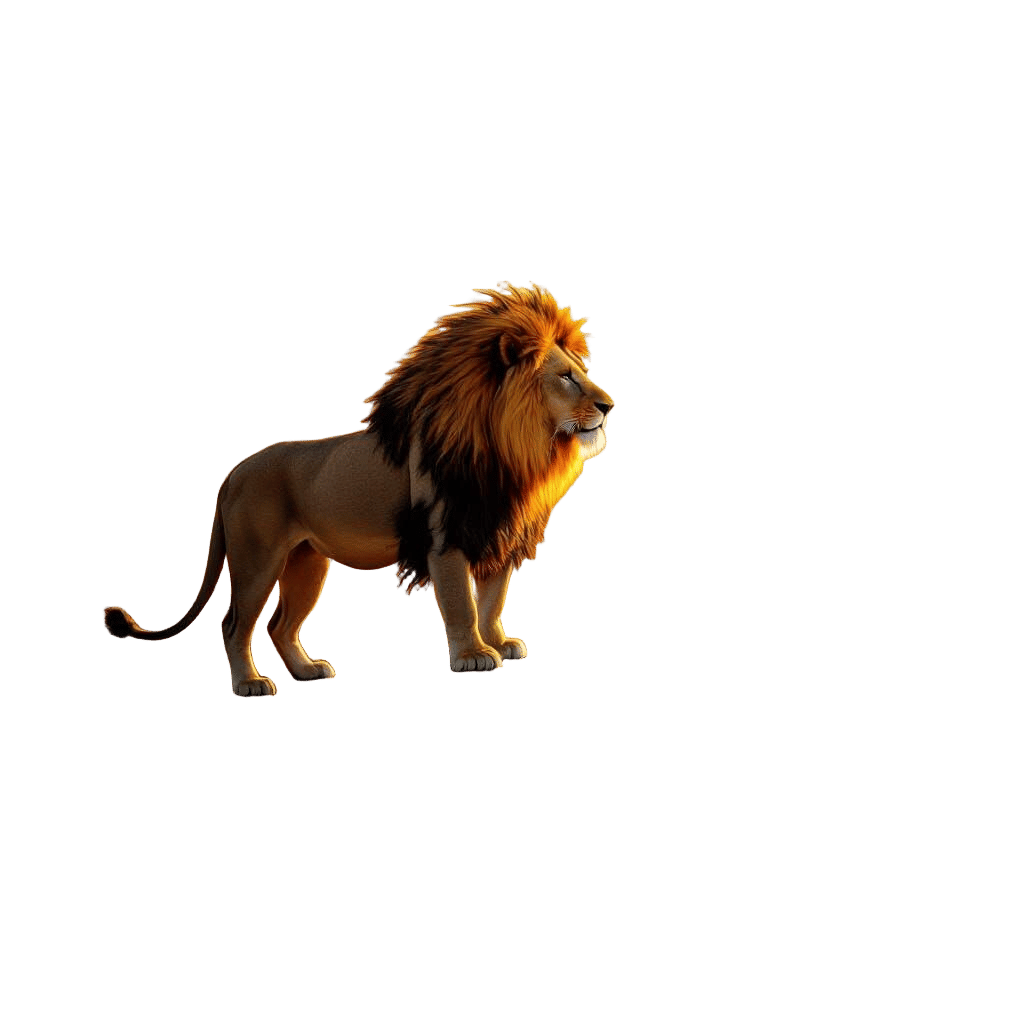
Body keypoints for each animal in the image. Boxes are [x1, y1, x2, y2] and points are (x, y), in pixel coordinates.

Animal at [101, 280, 615, 696]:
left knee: (279, 626)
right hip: (256, 559)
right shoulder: (445, 538)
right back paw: (249, 683)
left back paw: (306, 671)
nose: (609, 405)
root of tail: (235, 470)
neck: (515, 451)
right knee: (233, 625)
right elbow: (463, 604)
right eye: (565, 376)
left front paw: (499, 642)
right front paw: (472, 655)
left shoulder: (495, 532)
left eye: (580, 370)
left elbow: (492, 600)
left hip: (306, 563)